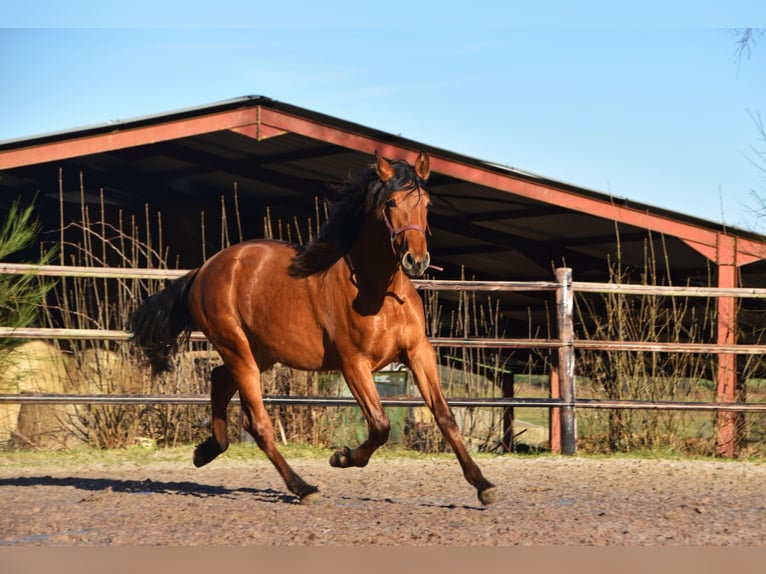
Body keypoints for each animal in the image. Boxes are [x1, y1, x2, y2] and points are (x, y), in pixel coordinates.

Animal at [130, 151, 500, 506]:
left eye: (426, 204)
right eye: (391, 203)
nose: (416, 260)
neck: (380, 293)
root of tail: (204, 269)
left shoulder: (417, 352)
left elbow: (445, 416)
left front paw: (484, 485)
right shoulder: (354, 364)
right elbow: (380, 425)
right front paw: (342, 457)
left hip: (260, 353)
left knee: (220, 380)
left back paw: (206, 451)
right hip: (237, 349)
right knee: (258, 423)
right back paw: (303, 488)